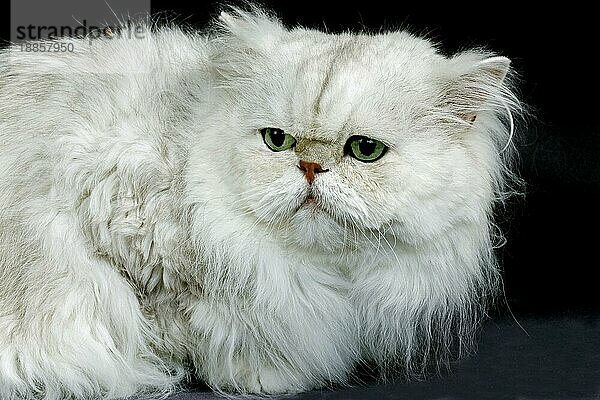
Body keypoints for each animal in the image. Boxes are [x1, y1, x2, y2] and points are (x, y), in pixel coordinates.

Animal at [0, 7, 520, 400]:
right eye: (277, 140)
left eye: (365, 150)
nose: (310, 166)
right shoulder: (125, 239)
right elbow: (175, 323)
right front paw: (259, 376)